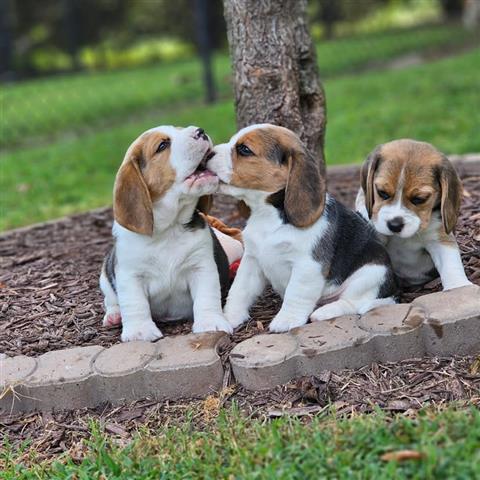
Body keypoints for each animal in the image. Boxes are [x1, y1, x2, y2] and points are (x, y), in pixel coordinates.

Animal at [206, 124, 398, 334]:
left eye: (244, 149)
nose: (207, 153)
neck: (268, 214)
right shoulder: (251, 260)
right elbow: (239, 290)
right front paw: (229, 318)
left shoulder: (308, 265)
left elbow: (295, 293)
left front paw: (286, 320)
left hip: (371, 272)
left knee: (355, 303)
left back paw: (324, 312)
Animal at [354, 137, 470, 290]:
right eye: (382, 193)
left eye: (419, 199)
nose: (394, 225)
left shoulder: (439, 237)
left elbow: (450, 262)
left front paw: (459, 286)